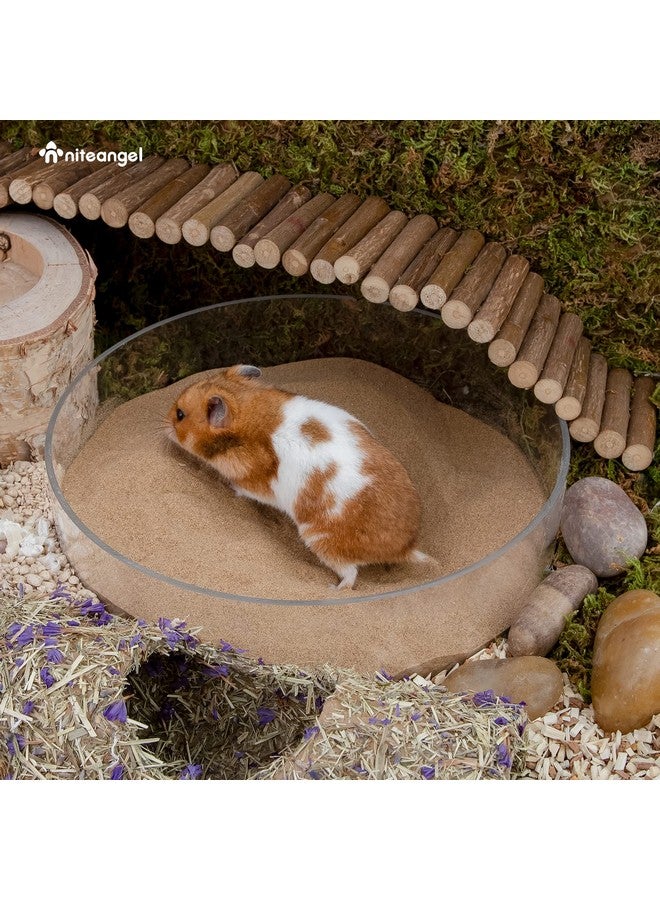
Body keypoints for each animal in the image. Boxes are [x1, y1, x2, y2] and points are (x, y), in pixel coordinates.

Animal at [165, 364, 429, 590]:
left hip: (322, 542)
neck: (248, 409)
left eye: (180, 415)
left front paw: (227, 486)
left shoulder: (255, 485)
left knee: (351, 576)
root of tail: (405, 548)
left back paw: (333, 588)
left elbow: (241, 489)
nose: (164, 424)